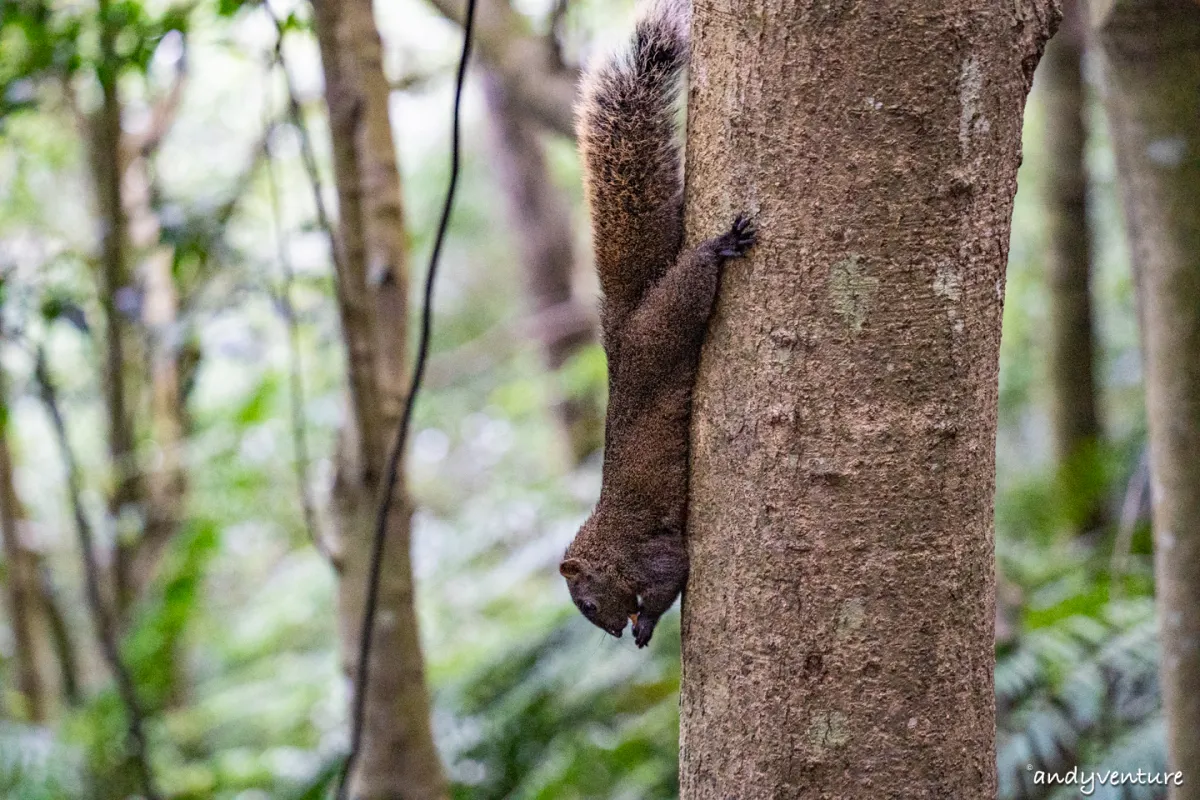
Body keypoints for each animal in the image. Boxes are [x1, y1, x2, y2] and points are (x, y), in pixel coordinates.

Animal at [556, 0, 753, 647]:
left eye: (587, 602)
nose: (614, 633)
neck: (611, 542)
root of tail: (624, 333)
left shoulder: (655, 549)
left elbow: (673, 577)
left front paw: (647, 623)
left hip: (667, 322)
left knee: (690, 283)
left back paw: (717, 248)